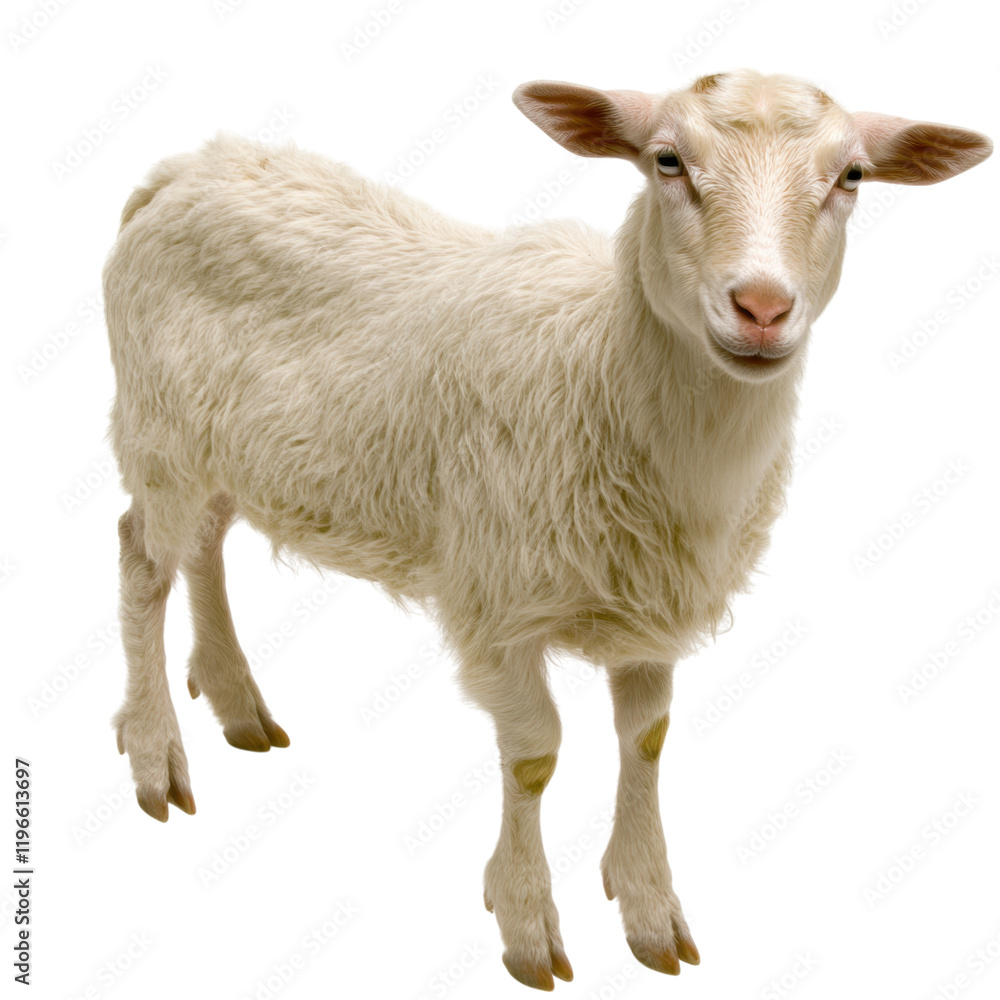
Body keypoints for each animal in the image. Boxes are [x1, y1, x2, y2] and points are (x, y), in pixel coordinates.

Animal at [103, 69, 991, 990]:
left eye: (851, 177)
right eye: (667, 161)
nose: (761, 307)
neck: (601, 373)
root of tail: (182, 170)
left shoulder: (651, 604)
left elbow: (647, 740)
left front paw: (647, 906)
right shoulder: (495, 599)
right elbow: (535, 754)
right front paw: (527, 921)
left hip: (224, 449)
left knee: (203, 544)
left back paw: (234, 699)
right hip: (159, 432)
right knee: (142, 561)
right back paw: (154, 752)